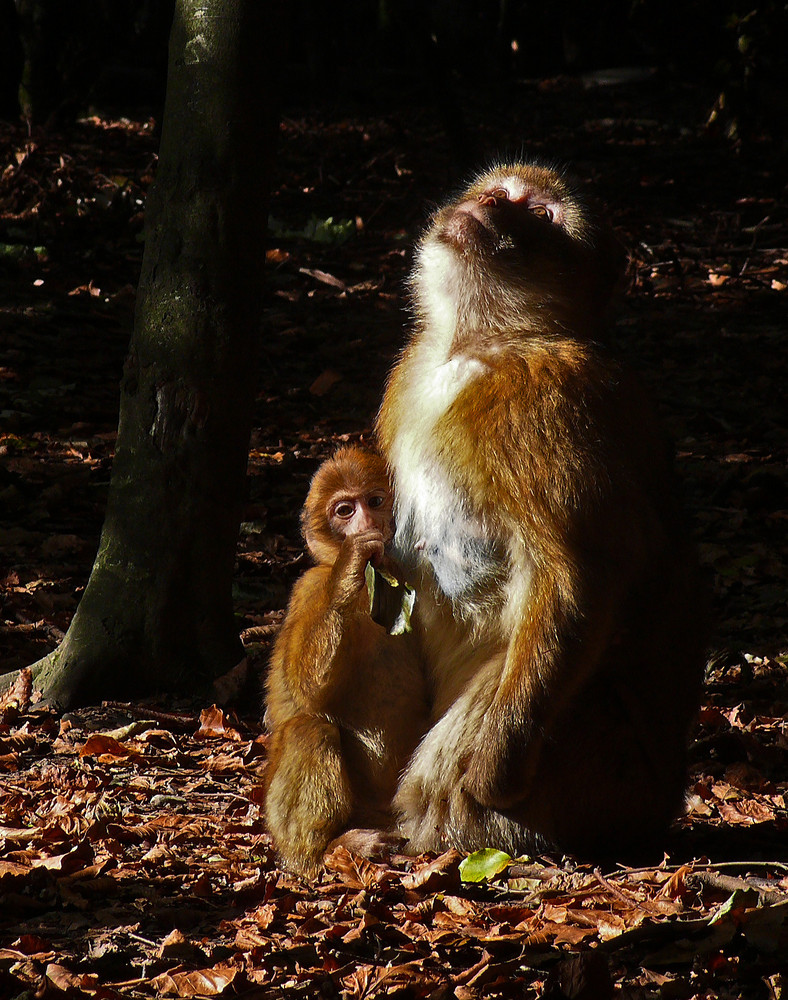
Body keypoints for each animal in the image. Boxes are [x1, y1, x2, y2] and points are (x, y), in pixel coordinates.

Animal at [264, 446, 424, 876]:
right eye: (344, 511)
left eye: (375, 501)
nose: (366, 523)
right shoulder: (310, 586)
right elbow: (304, 689)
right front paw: (352, 562)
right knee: (309, 729)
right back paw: (322, 849)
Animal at [376, 158, 700, 860]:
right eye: (504, 193)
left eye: (542, 214)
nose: (494, 205)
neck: (485, 342)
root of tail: (659, 811)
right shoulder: (407, 372)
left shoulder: (546, 404)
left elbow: (582, 573)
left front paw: (491, 774)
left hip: (602, 772)